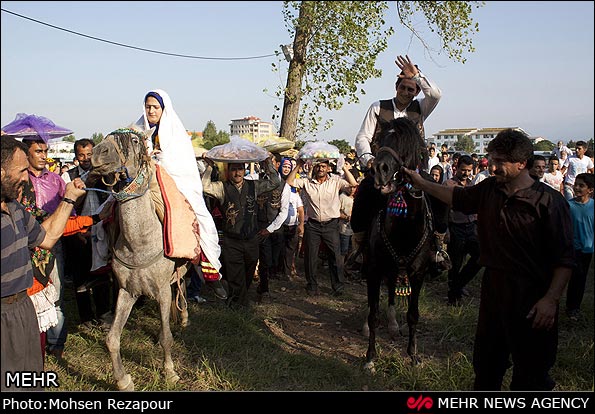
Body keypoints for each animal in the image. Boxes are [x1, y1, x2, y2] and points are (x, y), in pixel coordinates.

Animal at [360, 117, 444, 372]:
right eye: (379, 140)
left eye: (407, 144)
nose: (380, 170)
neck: (403, 229)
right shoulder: (374, 269)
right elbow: (373, 314)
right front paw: (370, 357)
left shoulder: (418, 274)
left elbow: (413, 314)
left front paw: (413, 355)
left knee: (391, 293)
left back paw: (393, 324)